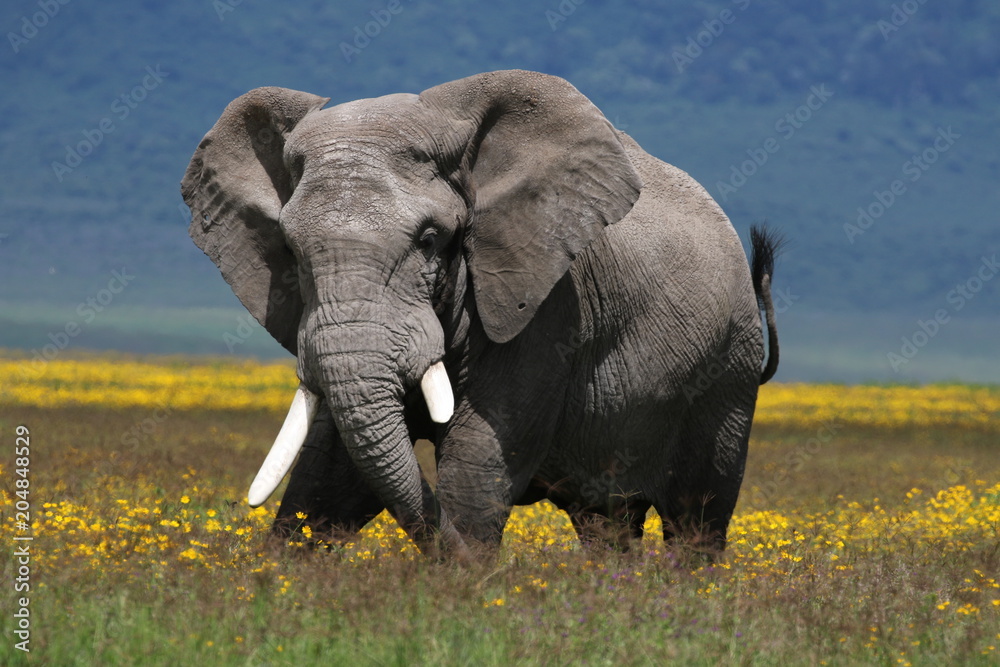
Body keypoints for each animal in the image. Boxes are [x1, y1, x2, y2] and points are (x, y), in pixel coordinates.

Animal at [181, 69, 781, 560]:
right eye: (290, 249)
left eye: (429, 240)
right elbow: (331, 475)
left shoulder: (549, 309)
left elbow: (477, 462)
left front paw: (463, 587)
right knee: (607, 521)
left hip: (727, 374)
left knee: (697, 518)